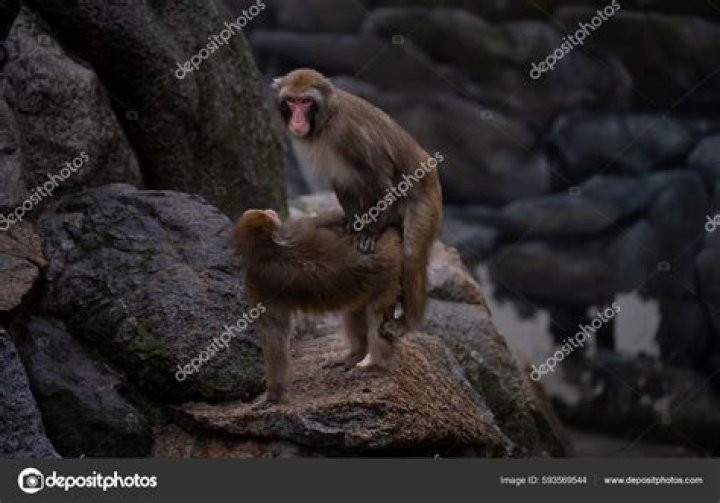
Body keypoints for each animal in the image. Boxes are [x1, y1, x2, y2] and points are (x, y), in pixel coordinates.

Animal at [233, 208, 403, 403]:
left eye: (266, 214)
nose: (270, 210)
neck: (266, 249)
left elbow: (274, 335)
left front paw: (273, 396)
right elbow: (275, 334)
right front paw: (274, 395)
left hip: (389, 264)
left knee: (376, 313)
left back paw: (375, 365)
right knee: (367, 310)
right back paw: (360, 355)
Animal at [272, 68, 443, 336]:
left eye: (306, 101)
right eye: (291, 101)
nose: (297, 119)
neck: (326, 120)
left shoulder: (348, 134)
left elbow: (382, 179)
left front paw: (370, 234)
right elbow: (343, 184)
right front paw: (353, 226)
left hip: (428, 201)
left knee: (413, 253)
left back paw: (408, 322)